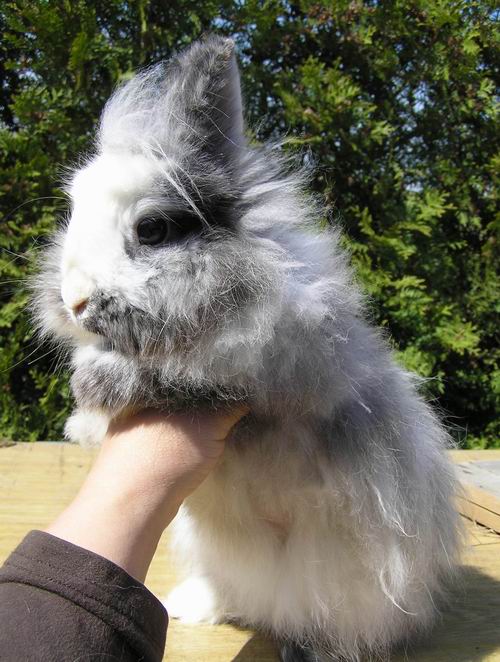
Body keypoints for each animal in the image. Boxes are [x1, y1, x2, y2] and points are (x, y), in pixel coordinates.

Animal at [33, 35, 462, 661]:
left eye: (153, 230)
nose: (75, 300)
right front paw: (86, 418)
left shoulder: (276, 370)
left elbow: (182, 376)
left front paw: (96, 386)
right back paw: (193, 608)